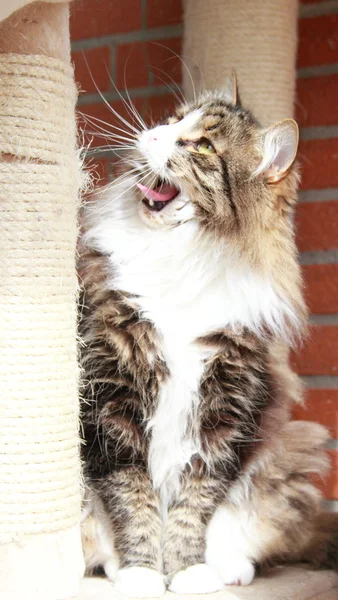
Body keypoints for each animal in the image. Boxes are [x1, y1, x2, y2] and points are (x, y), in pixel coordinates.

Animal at [77, 81, 338, 596]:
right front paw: (141, 573)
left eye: (201, 146)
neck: (179, 256)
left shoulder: (223, 411)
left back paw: (228, 568)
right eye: (172, 120)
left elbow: (194, 505)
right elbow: (130, 498)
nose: (152, 134)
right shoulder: (112, 402)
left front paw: (188, 571)